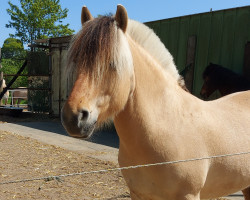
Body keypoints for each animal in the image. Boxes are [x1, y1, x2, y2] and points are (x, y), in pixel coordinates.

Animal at [61, 5, 250, 200]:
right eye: (76, 61)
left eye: (112, 64)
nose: (74, 118)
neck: (166, 125)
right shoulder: (138, 194)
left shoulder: (189, 194)